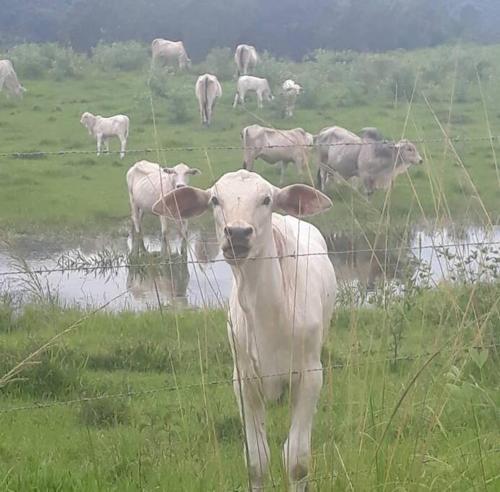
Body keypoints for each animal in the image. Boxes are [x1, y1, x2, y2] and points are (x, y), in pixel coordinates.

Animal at [152, 168, 338, 488]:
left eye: (266, 199)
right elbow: (256, 461)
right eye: (215, 200)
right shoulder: (243, 380)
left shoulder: (311, 375)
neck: (269, 315)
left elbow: (297, 461)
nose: (237, 233)